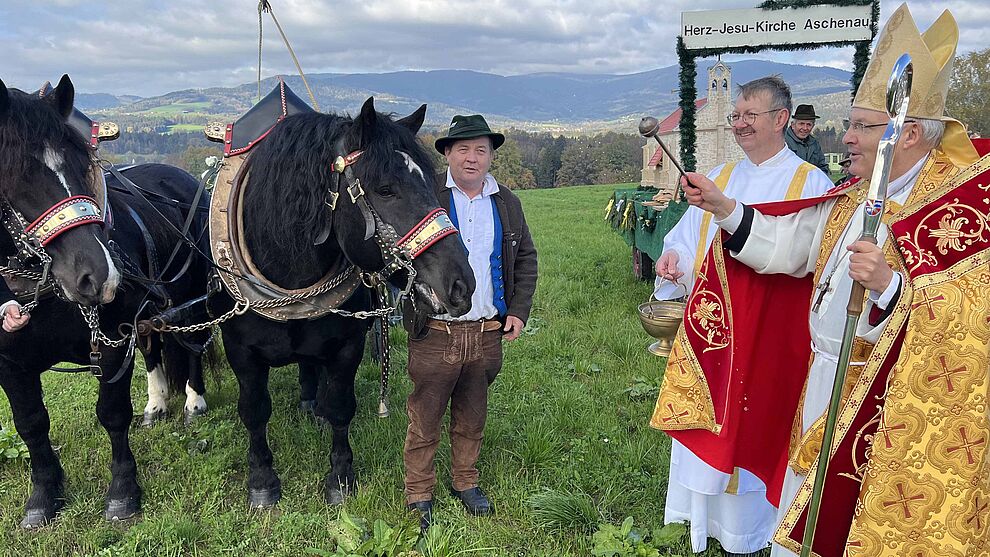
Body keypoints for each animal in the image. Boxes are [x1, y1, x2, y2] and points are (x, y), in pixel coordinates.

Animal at [0, 77, 209, 524]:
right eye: (15, 174)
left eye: (83, 165)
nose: (97, 276)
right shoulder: (10, 364)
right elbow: (30, 424)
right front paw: (43, 497)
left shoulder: (111, 343)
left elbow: (112, 414)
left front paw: (123, 492)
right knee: (152, 348)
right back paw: (156, 404)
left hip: (190, 299)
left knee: (190, 345)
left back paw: (193, 401)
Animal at [221, 97, 476, 506]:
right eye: (385, 189)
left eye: (430, 182)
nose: (460, 286)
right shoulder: (241, 353)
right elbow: (254, 411)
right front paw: (261, 479)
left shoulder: (346, 346)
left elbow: (341, 406)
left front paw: (340, 477)